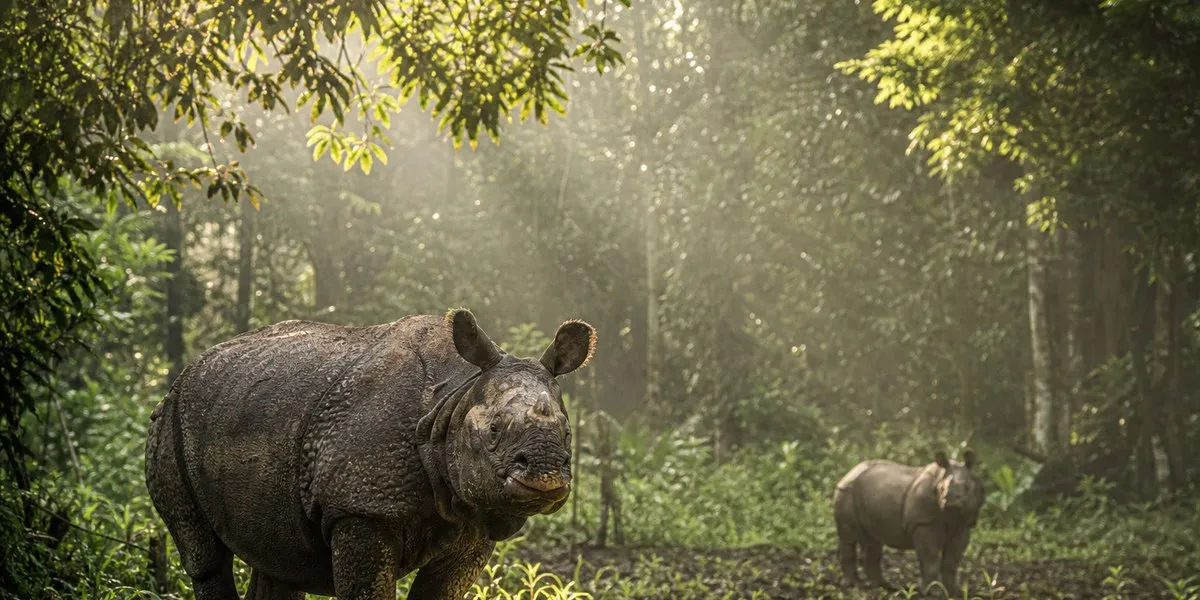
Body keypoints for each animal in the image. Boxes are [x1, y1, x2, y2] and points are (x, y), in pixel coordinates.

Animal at [145, 309, 595, 600]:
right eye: (494, 432)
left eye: (567, 433)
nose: (545, 474)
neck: (454, 397)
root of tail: (187, 370)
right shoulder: (361, 508)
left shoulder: (473, 522)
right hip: (171, 421)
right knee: (205, 558)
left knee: (277, 560)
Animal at [833, 450, 985, 595]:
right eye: (941, 488)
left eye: (967, 488)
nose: (951, 501)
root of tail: (850, 471)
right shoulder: (923, 523)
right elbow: (930, 559)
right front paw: (932, 592)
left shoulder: (964, 525)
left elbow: (951, 562)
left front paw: (954, 591)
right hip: (846, 489)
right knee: (849, 538)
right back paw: (853, 586)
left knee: (872, 540)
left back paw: (884, 587)